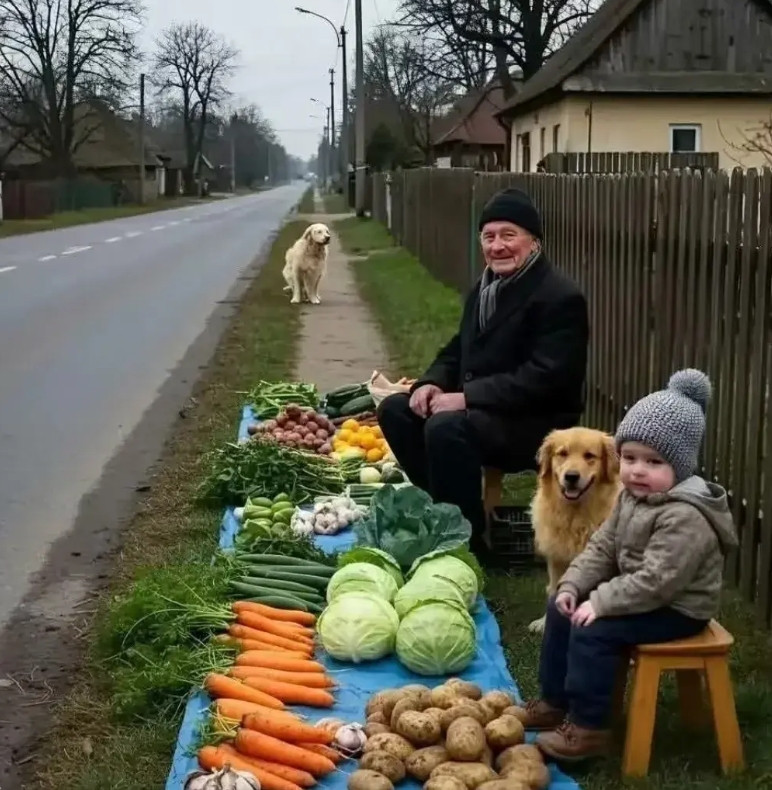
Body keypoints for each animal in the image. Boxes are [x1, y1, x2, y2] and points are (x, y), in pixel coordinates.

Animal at [524, 430, 620, 636]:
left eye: (589, 456)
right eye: (563, 453)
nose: (571, 476)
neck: (575, 516)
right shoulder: (556, 561)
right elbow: (554, 592)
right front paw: (544, 623)